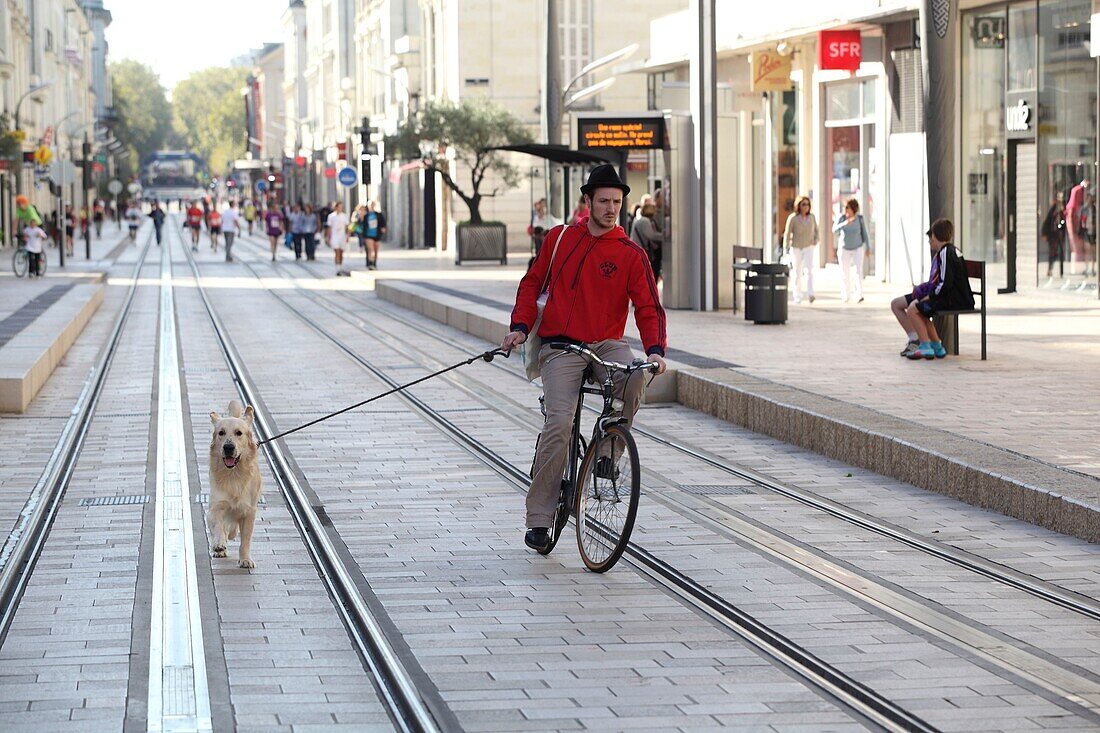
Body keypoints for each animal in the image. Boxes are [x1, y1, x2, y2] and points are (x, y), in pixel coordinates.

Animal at [205, 400, 260, 563]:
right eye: (221, 433)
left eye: (239, 433)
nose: (228, 447)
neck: (233, 475)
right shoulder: (215, 507)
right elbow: (217, 525)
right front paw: (219, 545)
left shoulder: (249, 511)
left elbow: (246, 540)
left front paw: (246, 560)